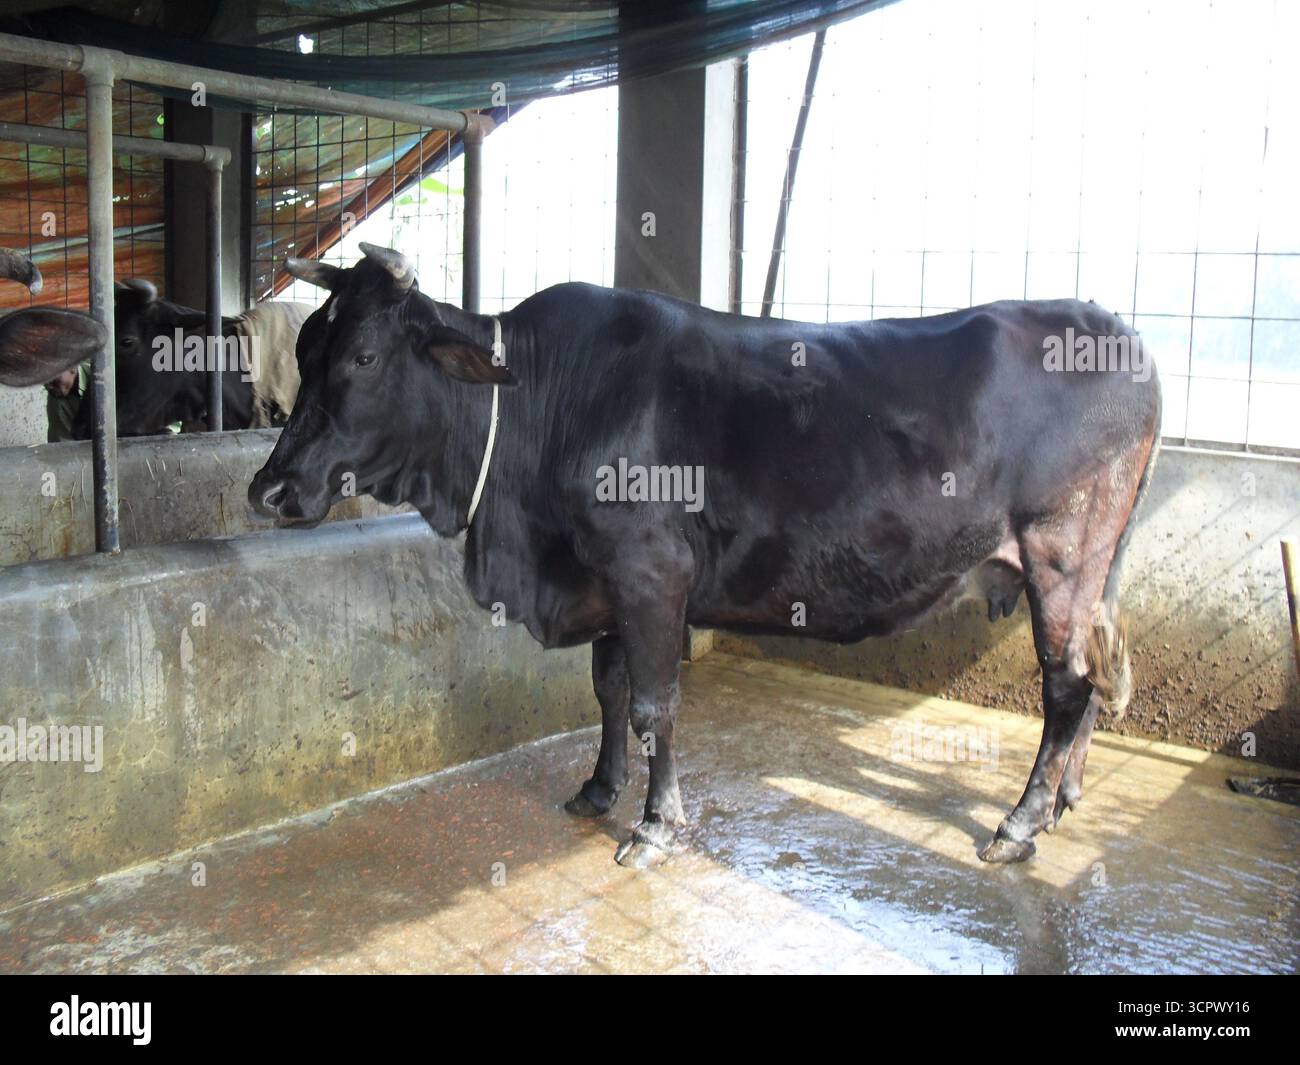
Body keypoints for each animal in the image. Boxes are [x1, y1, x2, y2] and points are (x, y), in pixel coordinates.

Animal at [249, 243, 1161, 869]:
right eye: (303, 350)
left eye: (365, 355)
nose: (269, 488)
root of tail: (1112, 326)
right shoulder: (603, 579)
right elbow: (608, 689)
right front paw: (598, 788)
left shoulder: (650, 571)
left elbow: (655, 705)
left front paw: (655, 824)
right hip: (1090, 570)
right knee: (1090, 677)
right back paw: (1065, 799)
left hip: (1062, 551)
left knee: (1066, 686)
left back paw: (1018, 823)